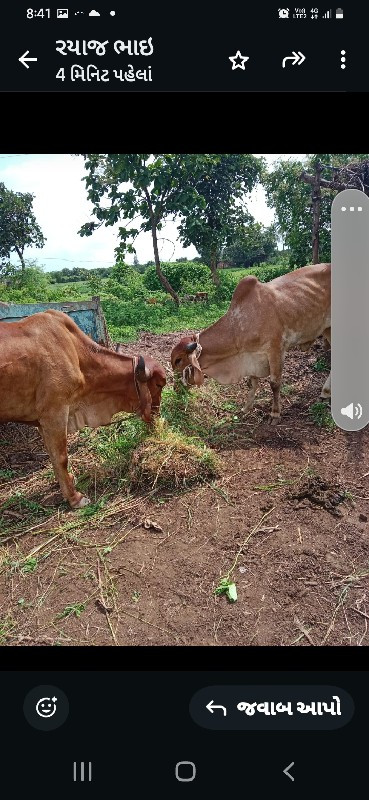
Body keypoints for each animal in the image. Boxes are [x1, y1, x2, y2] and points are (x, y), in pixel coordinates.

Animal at [0, 310, 164, 506]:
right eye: (159, 384)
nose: (156, 415)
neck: (75, 353)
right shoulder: (54, 413)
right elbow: (61, 457)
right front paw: (74, 498)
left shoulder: (42, 422)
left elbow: (52, 456)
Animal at [170, 264, 330, 424]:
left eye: (178, 360)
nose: (176, 389)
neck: (239, 325)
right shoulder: (251, 357)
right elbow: (252, 383)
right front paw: (246, 408)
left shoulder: (275, 350)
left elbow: (275, 383)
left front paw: (275, 414)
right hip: (327, 330)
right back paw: (325, 393)